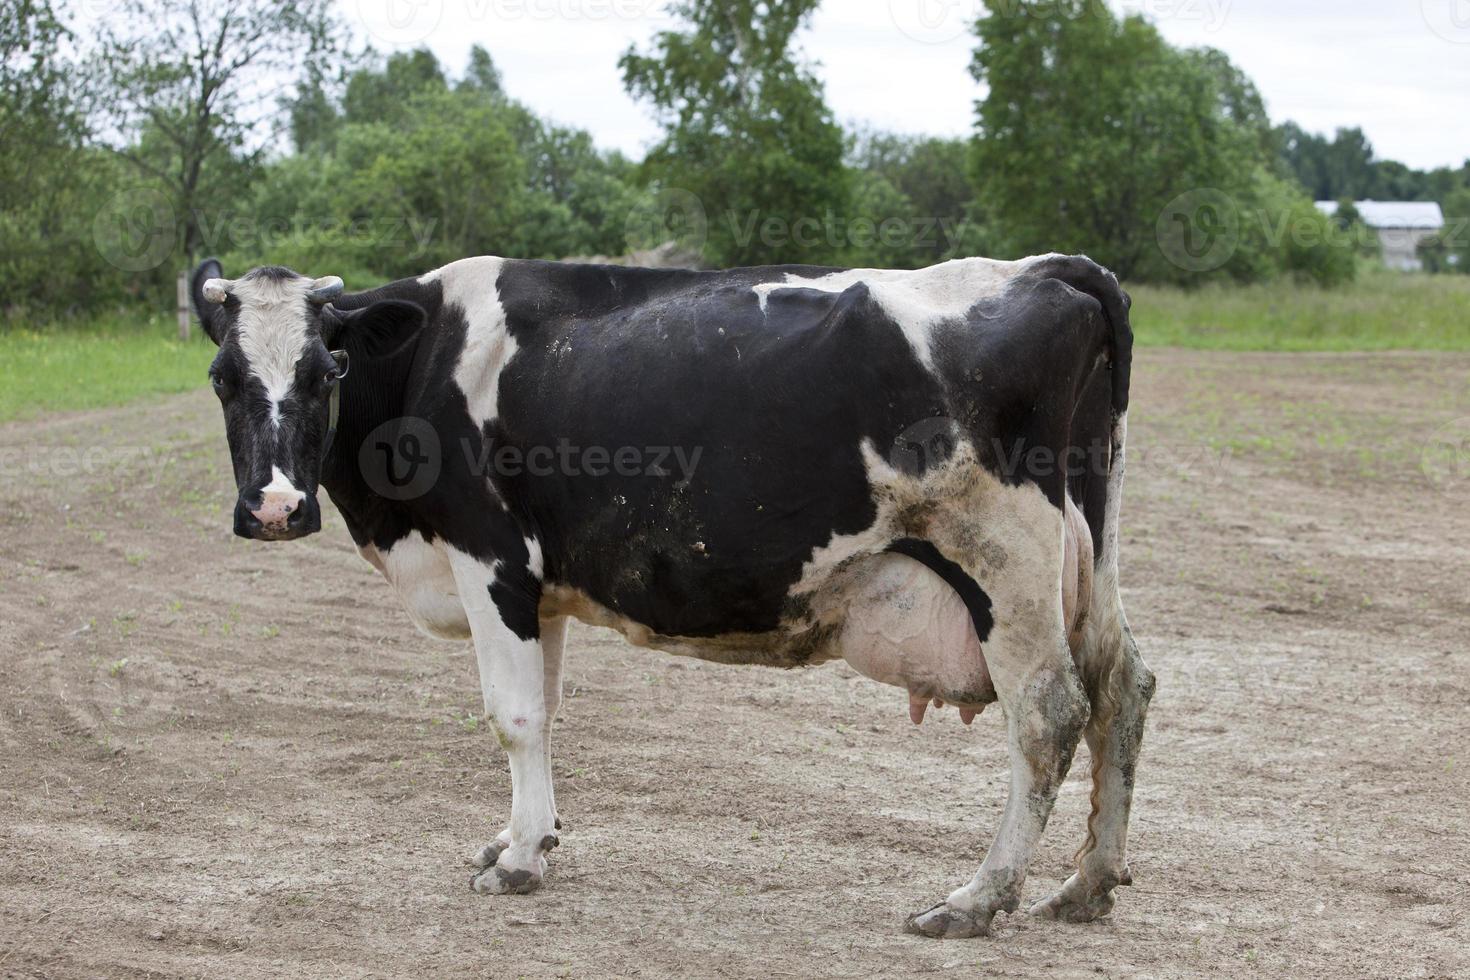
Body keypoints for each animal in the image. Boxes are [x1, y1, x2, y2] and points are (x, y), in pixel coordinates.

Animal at [192, 249, 1158, 940]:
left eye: (326, 371)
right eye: (222, 379)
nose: (273, 508)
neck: (426, 356)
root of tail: (1049, 267)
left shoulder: (490, 556)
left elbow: (514, 716)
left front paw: (518, 864)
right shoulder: (539, 586)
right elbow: (544, 709)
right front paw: (527, 834)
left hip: (1007, 566)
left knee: (1049, 713)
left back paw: (977, 898)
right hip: (1089, 562)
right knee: (1124, 686)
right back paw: (1086, 883)